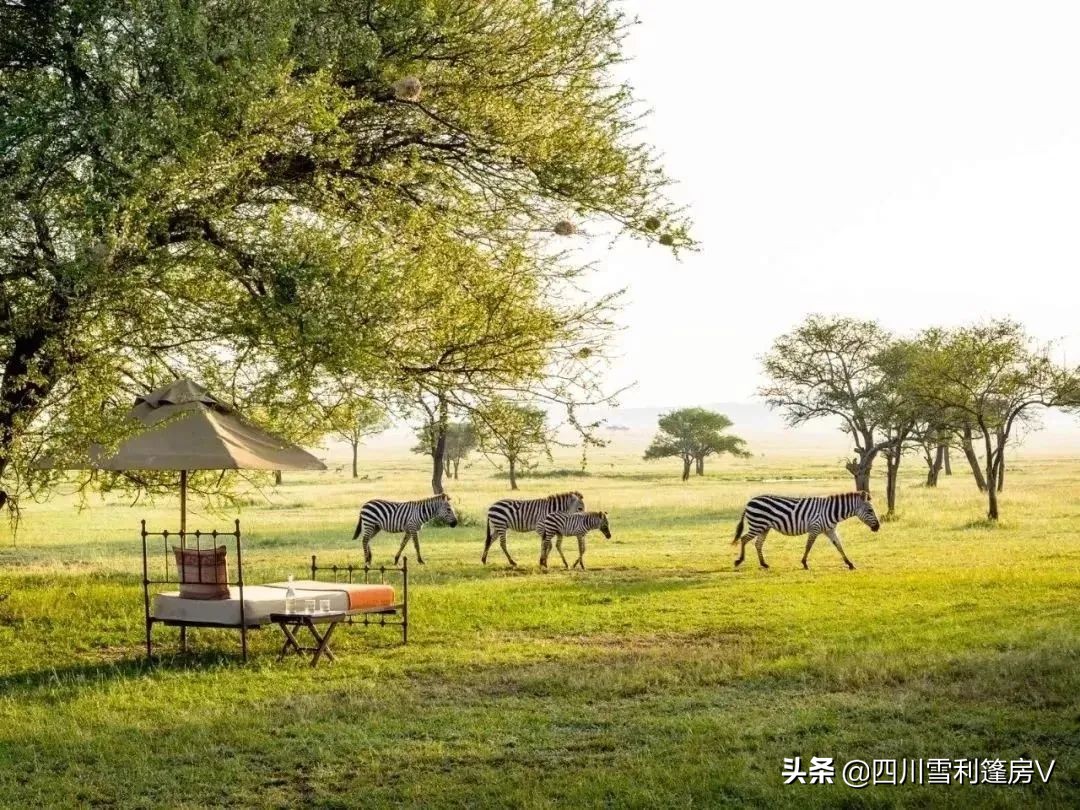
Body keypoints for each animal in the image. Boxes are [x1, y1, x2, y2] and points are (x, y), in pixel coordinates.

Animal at [734, 488, 876, 570]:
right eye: (870, 510)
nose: (878, 527)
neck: (831, 511)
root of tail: (750, 502)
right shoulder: (815, 528)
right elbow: (809, 546)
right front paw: (804, 563)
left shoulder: (830, 530)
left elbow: (839, 546)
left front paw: (850, 563)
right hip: (757, 524)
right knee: (744, 539)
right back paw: (739, 561)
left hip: (764, 527)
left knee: (758, 544)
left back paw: (763, 564)